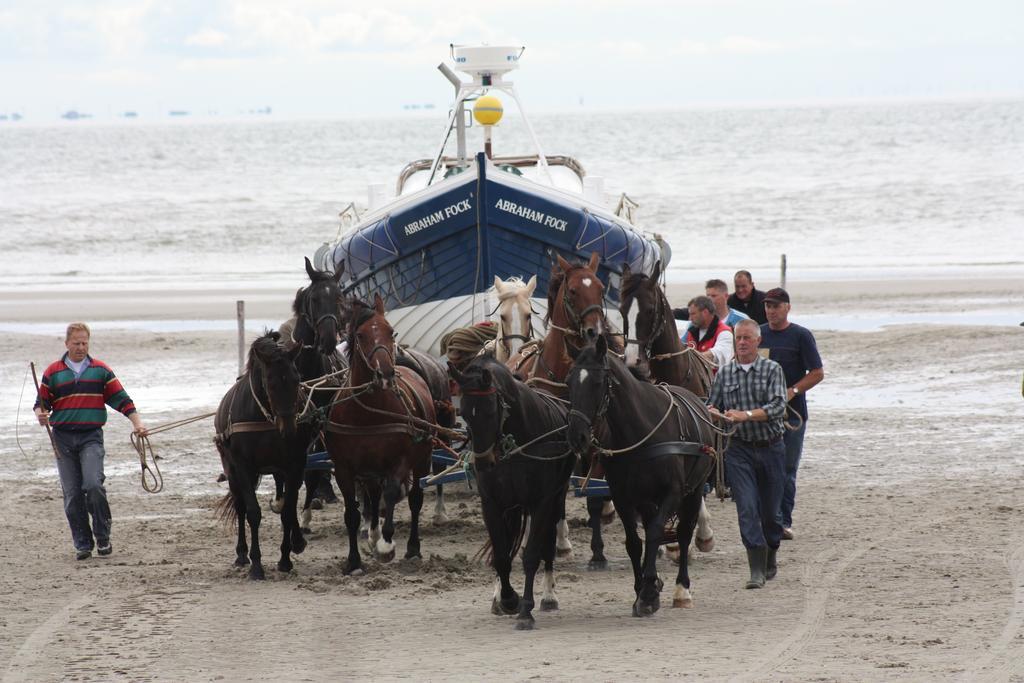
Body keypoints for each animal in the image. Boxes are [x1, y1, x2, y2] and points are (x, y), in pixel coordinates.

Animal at [214, 333, 309, 581]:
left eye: (297, 379)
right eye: (271, 383)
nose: (289, 429)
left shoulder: (294, 465)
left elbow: (287, 511)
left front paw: (285, 559)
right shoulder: (242, 466)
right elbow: (253, 513)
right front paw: (256, 565)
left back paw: (297, 541)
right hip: (231, 469)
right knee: (239, 505)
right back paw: (241, 554)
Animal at [323, 296, 436, 573]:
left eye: (391, 331)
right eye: (360, 335)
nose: (385, 373)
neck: (368, 413)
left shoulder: (400, 460)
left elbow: (393, 492)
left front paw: (387, 545)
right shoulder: (344, 468)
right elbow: (352, 514)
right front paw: (354, 560)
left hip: (422, 457)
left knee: (414, 498)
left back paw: (412, 548)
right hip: (371, 468)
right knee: (373, 497)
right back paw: (373, 534)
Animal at [448, 356, 577, 634]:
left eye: (489, 411)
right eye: (464, 413)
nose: (483, 464)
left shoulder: (542, 502)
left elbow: (531, 555)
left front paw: (525, 611)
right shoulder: (493, 504)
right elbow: (501, 555)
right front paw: (507, 599)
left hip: (555, 498)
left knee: (547, 544)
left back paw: (548, 595)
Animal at [565, 333, 716, 618]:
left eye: (598, 382)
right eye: (568, 381)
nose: (577, 436)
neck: (640, 429)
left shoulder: (672, 492)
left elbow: (657, 532)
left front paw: (648, 593)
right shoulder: (624, 497)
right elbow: (635, 542)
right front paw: (643, 589)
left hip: (693, 490)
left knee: (683, 532)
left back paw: (682, 589)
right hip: (646, 499)